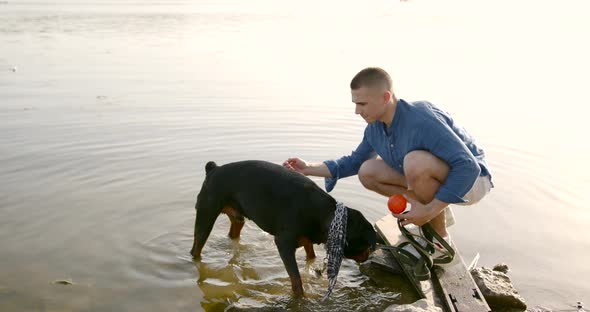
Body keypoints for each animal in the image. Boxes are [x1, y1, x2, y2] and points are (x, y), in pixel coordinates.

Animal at [194, 161, 380, 294]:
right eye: (366, 245)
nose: (368, 255)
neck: (326, 216)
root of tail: (214, 169)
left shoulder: (307, 238)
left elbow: (311, 255)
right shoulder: (283, 243)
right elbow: (296, 279)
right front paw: (300, 298)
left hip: (237, 218)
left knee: (234, 232)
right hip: (206, 214)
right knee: (197, 247)